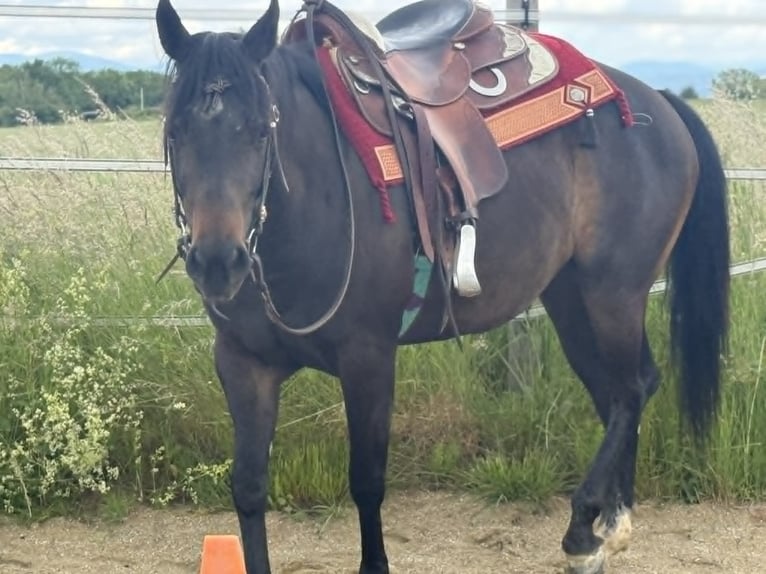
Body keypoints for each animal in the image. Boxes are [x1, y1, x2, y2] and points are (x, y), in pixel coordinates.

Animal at [154, 0, 730, 572]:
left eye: (259, 131)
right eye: (175, 131)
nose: (217, 261)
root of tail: (656, 103)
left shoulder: (368, 358)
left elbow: (367, 483)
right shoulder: (243, 364)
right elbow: (249, 488)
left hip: (615, 291)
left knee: (631, 389)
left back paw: (586, 526)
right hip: (570, 296)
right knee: (619, 391)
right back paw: (607, 527)